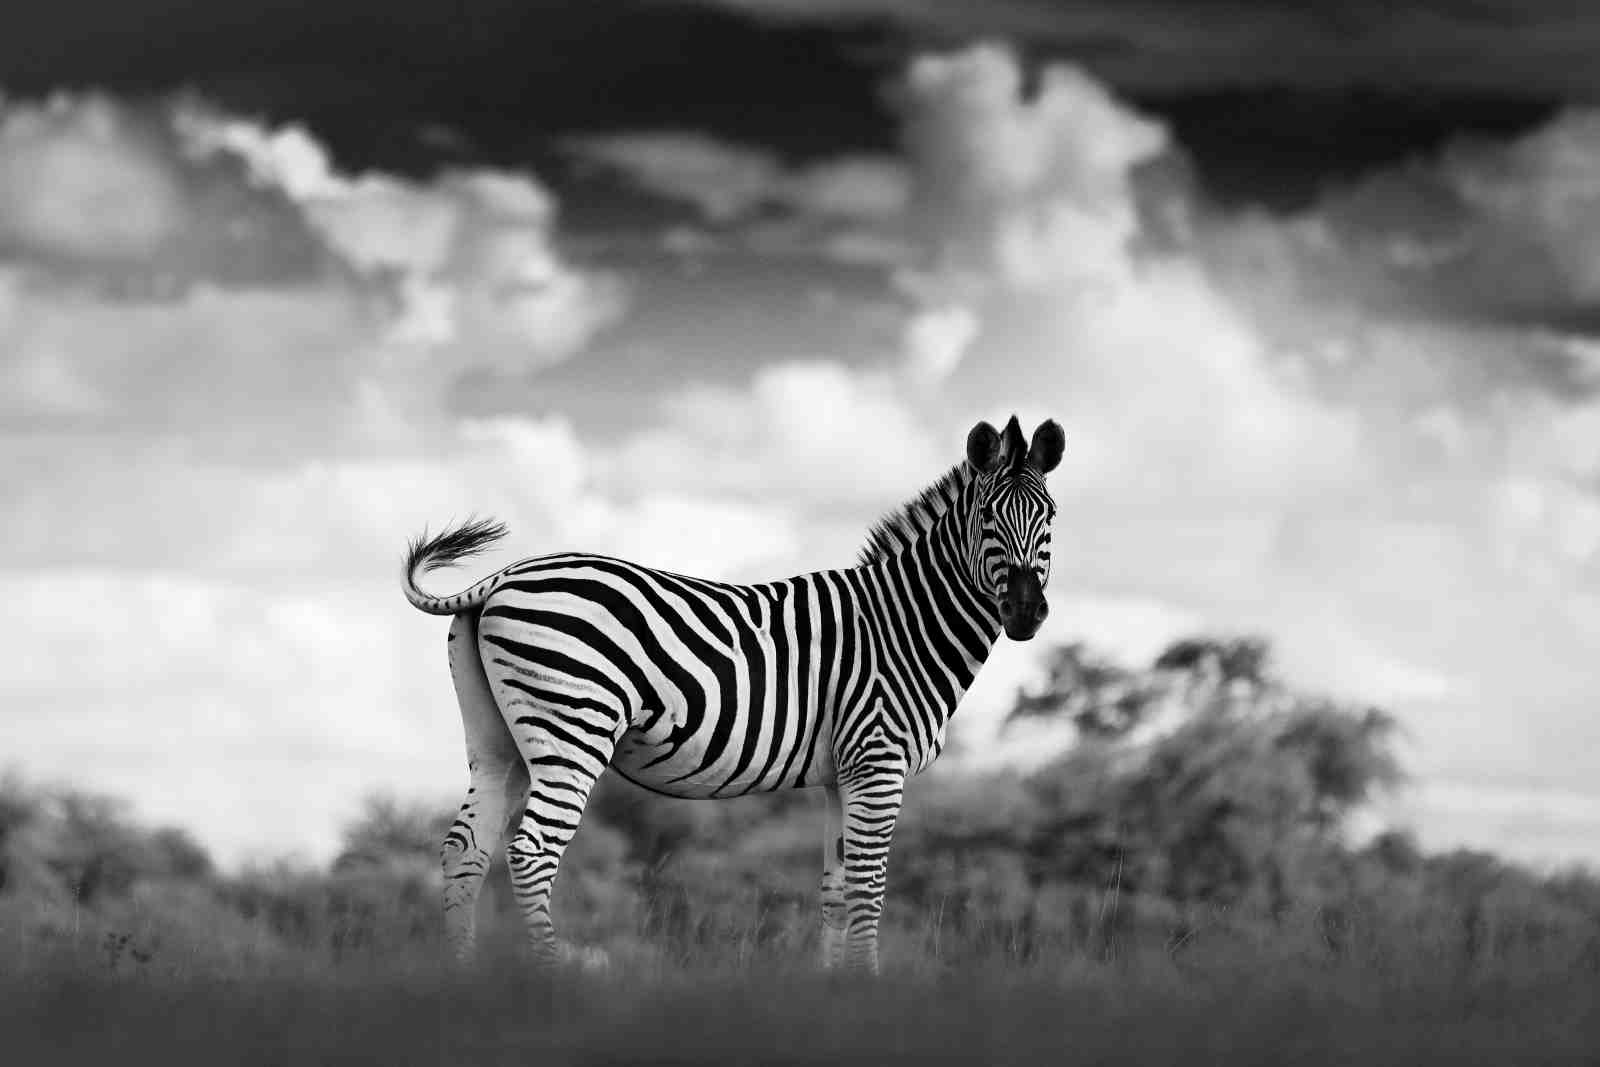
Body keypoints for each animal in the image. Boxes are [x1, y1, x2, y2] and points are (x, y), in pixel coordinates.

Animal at [403, 415, 1064, 973]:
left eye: (1050, 518)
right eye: (987, 521)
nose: (1026, 613)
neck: (904, 623)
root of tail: (502, 577)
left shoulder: (842, 773)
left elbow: (836, 890)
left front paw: (839, 990)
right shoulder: (878, 760)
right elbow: (868, 888)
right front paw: (869, 984)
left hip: (499, 742)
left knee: (465, 848)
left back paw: (464, 976)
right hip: (574, 727)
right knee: (532, 851)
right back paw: (551, 975)